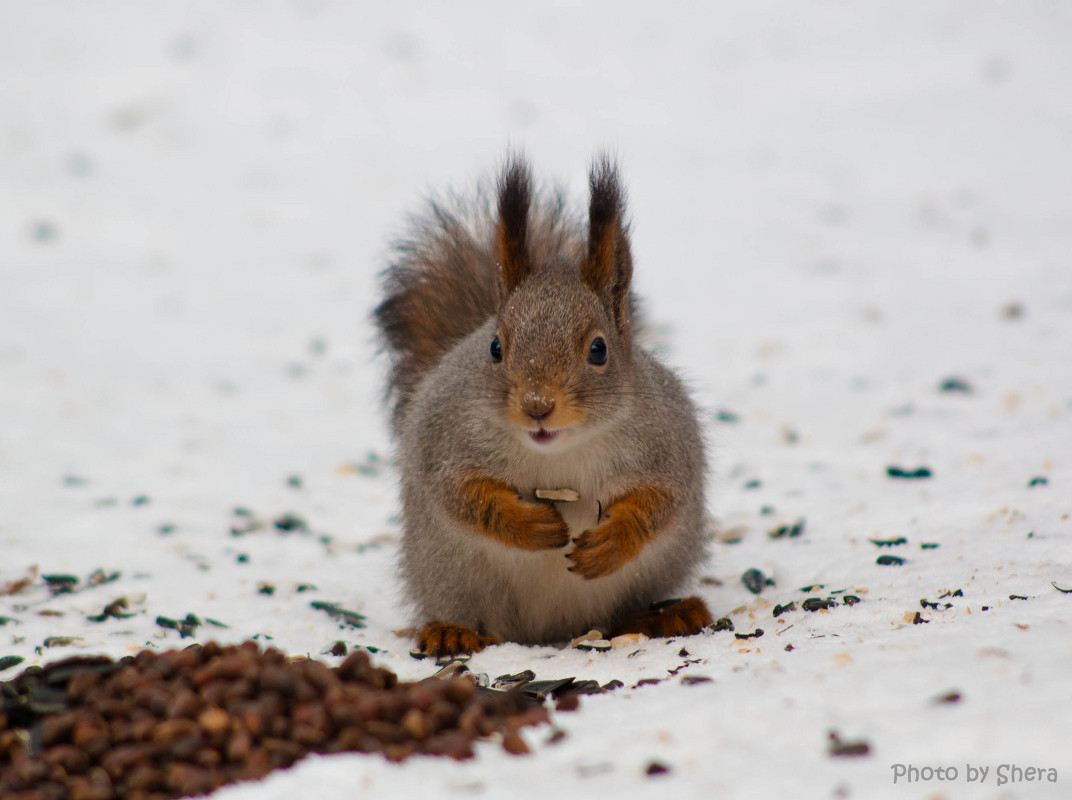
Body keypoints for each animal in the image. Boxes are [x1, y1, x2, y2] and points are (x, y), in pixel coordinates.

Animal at [373, 151, 716, 656]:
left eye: (599, 350)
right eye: (495, 347)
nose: (537, 406)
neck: (559, 454)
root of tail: (550, 632)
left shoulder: (667, 445)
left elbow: (660, 503)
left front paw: (610, 543)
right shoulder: (446, 439)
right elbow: (463, 495)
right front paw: (533, 527)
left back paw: (667, 615)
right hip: (450, 576)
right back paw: (452, 631)